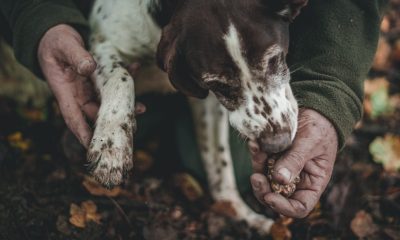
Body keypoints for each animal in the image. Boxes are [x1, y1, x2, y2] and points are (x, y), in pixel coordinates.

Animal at [86, 0, 306, 233]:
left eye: (274, 59)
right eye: (218, 84)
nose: (277, 144)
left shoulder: (209, 103)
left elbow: (219, 162)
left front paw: (237, 211)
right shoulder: (101, 45)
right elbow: (121, 76)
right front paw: (111, 145)